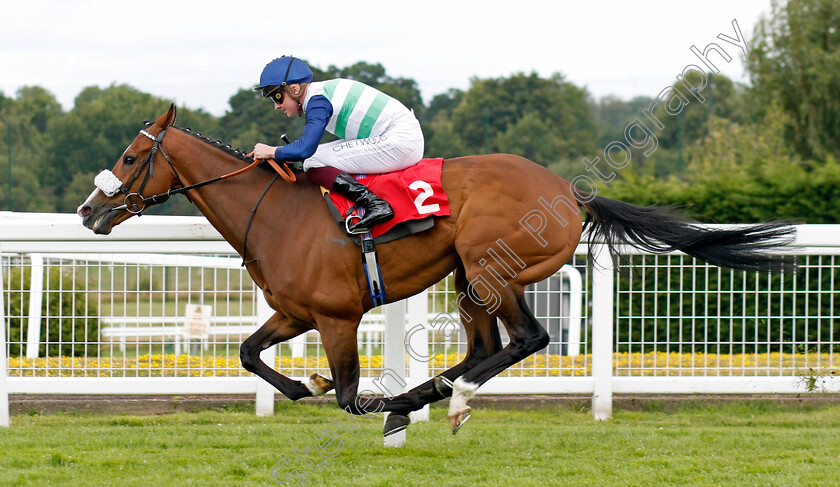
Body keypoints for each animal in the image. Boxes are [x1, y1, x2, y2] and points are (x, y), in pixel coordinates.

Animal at [75, 106, 792, 434]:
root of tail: (571, 193)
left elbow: (346, 392)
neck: (272, 210)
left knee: (526, 339)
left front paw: (356, 394)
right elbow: (251, 353)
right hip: (467, 278)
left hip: (491, 267)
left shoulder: (337, 316)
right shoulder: (295, 310)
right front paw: (301, 385)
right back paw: (431, 396)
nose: (88, 210)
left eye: (133, 155)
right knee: (483, 347)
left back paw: (431, 397)